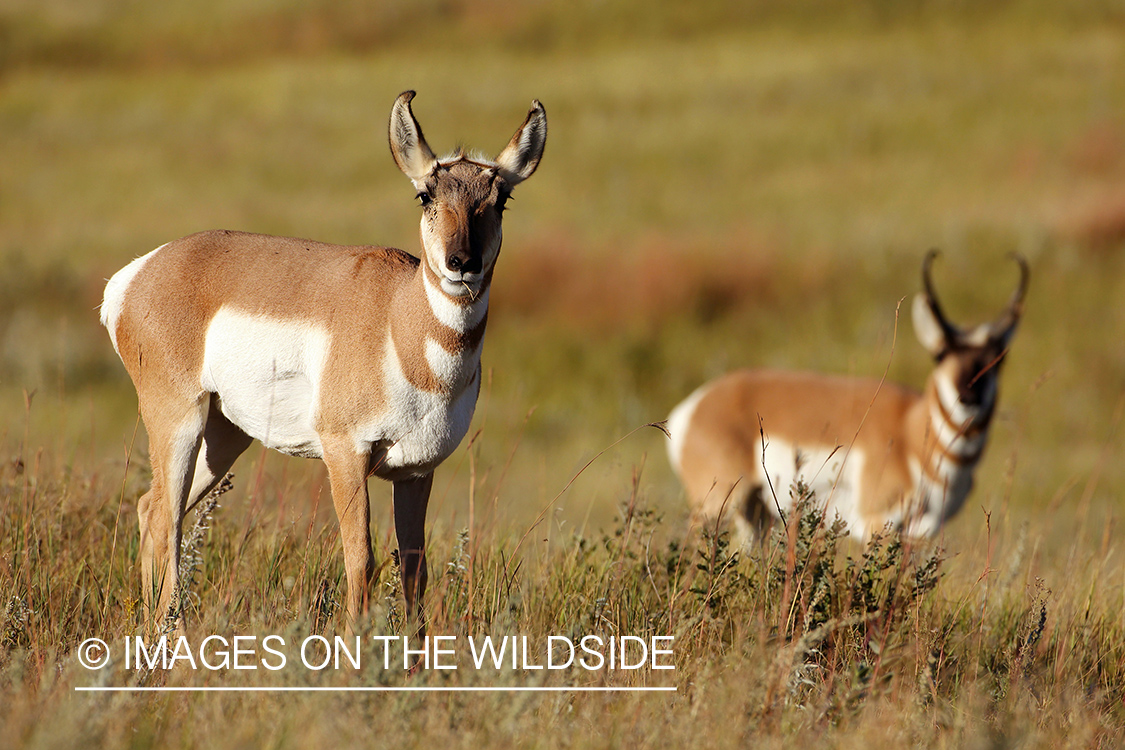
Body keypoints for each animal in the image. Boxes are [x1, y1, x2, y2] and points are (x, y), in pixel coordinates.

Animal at [99, 92, 546, 634]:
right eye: (425, 194)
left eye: (500, 200)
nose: (463, 263)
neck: (397, 319)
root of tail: (137, 275)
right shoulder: (345, 453)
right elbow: (361, 559)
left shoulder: (417, 471)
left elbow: (414, 569)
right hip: (178, 421)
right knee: (166, 518)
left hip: (224, 435)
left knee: (154, 510)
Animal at [666, 255, 1030, 541]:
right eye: (940, 354)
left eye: (999, 358)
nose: (968, 397)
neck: (911, 431)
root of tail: (696, 405)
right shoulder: (877, 523)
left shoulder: (921, 533)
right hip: (716, 508)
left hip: (754, 514)